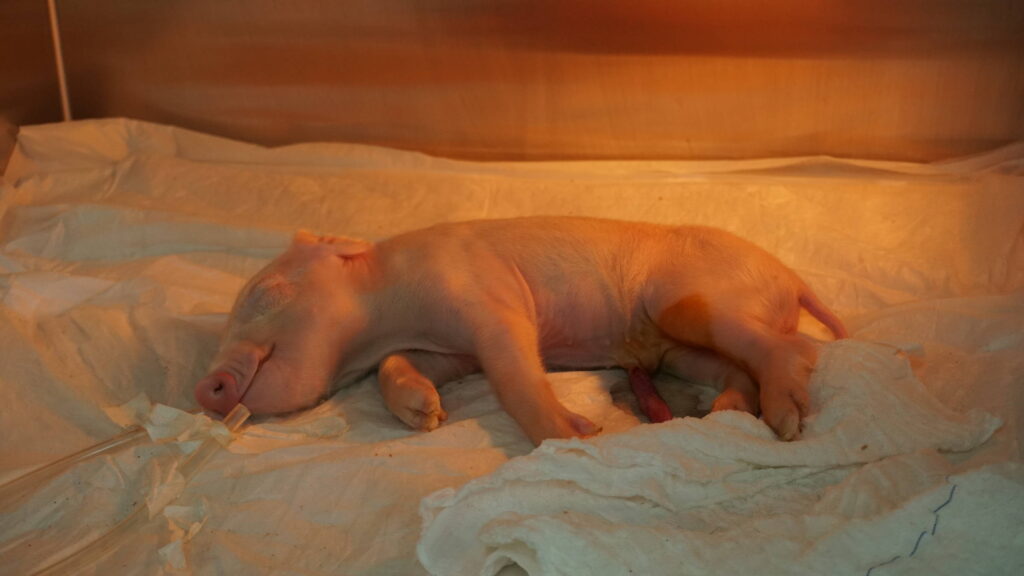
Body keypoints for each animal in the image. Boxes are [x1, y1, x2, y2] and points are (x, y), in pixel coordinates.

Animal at [195, 217, 846, 445]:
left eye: (264, 294)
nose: (204, 389)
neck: (390, 313)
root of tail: (792, 280)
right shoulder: (447, 350)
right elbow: (399, 368)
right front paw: (425, 415)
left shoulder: (486, 295)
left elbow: (513, 369)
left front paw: (578, 435)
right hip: (678, 351)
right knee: (734, 368)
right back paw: (727, 411)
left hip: (687, 301)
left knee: (795, 347)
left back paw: (786, 421)